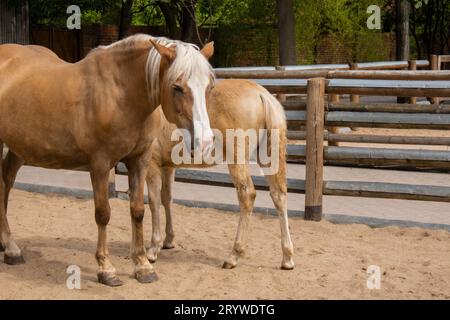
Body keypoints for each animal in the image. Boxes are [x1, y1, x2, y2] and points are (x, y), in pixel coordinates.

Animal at [0, 35, 216, 288]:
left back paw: (7, 246)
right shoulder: (101, 165)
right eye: (177, 87)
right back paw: (12, 248)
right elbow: (103, 214)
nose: (205, 142)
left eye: (209, 86)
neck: (121, 94)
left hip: (19, 147)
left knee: (6, 183)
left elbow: (138, 211)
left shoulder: (139, 161)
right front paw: (106, 269)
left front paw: (143, 266)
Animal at [144, 79, 296, 270]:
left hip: (237, 160)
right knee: (278, 195)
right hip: (268, 158)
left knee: (247, 195)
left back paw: (233, 255)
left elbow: (154, 201)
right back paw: (287, 258)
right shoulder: (168, 167)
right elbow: (167, 199)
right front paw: (168, 240)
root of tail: (262, 94)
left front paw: (152, 249)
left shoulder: (152, 164)